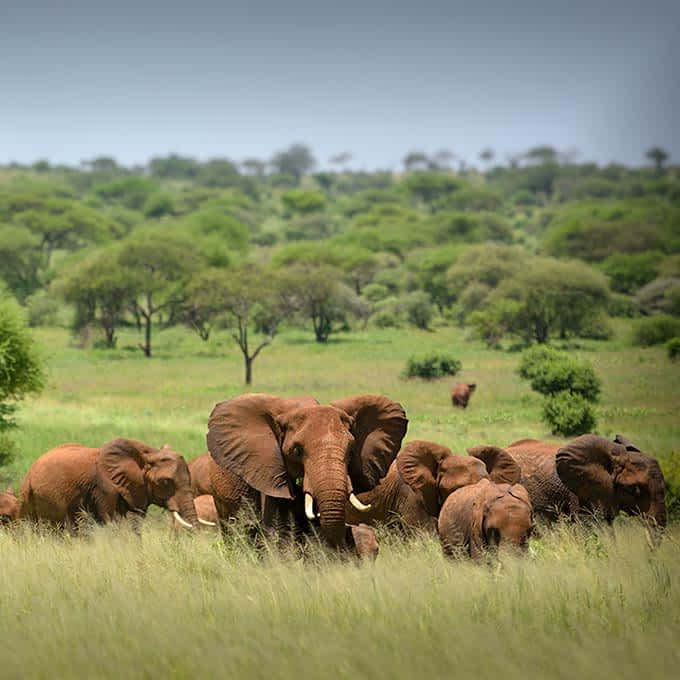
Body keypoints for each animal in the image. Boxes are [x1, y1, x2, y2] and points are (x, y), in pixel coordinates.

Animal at [18, 438, 198, 528]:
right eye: (165, 482)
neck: (147, 453)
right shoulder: (103, 488)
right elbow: (112, 522)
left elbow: (135, 523)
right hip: (30, 496)